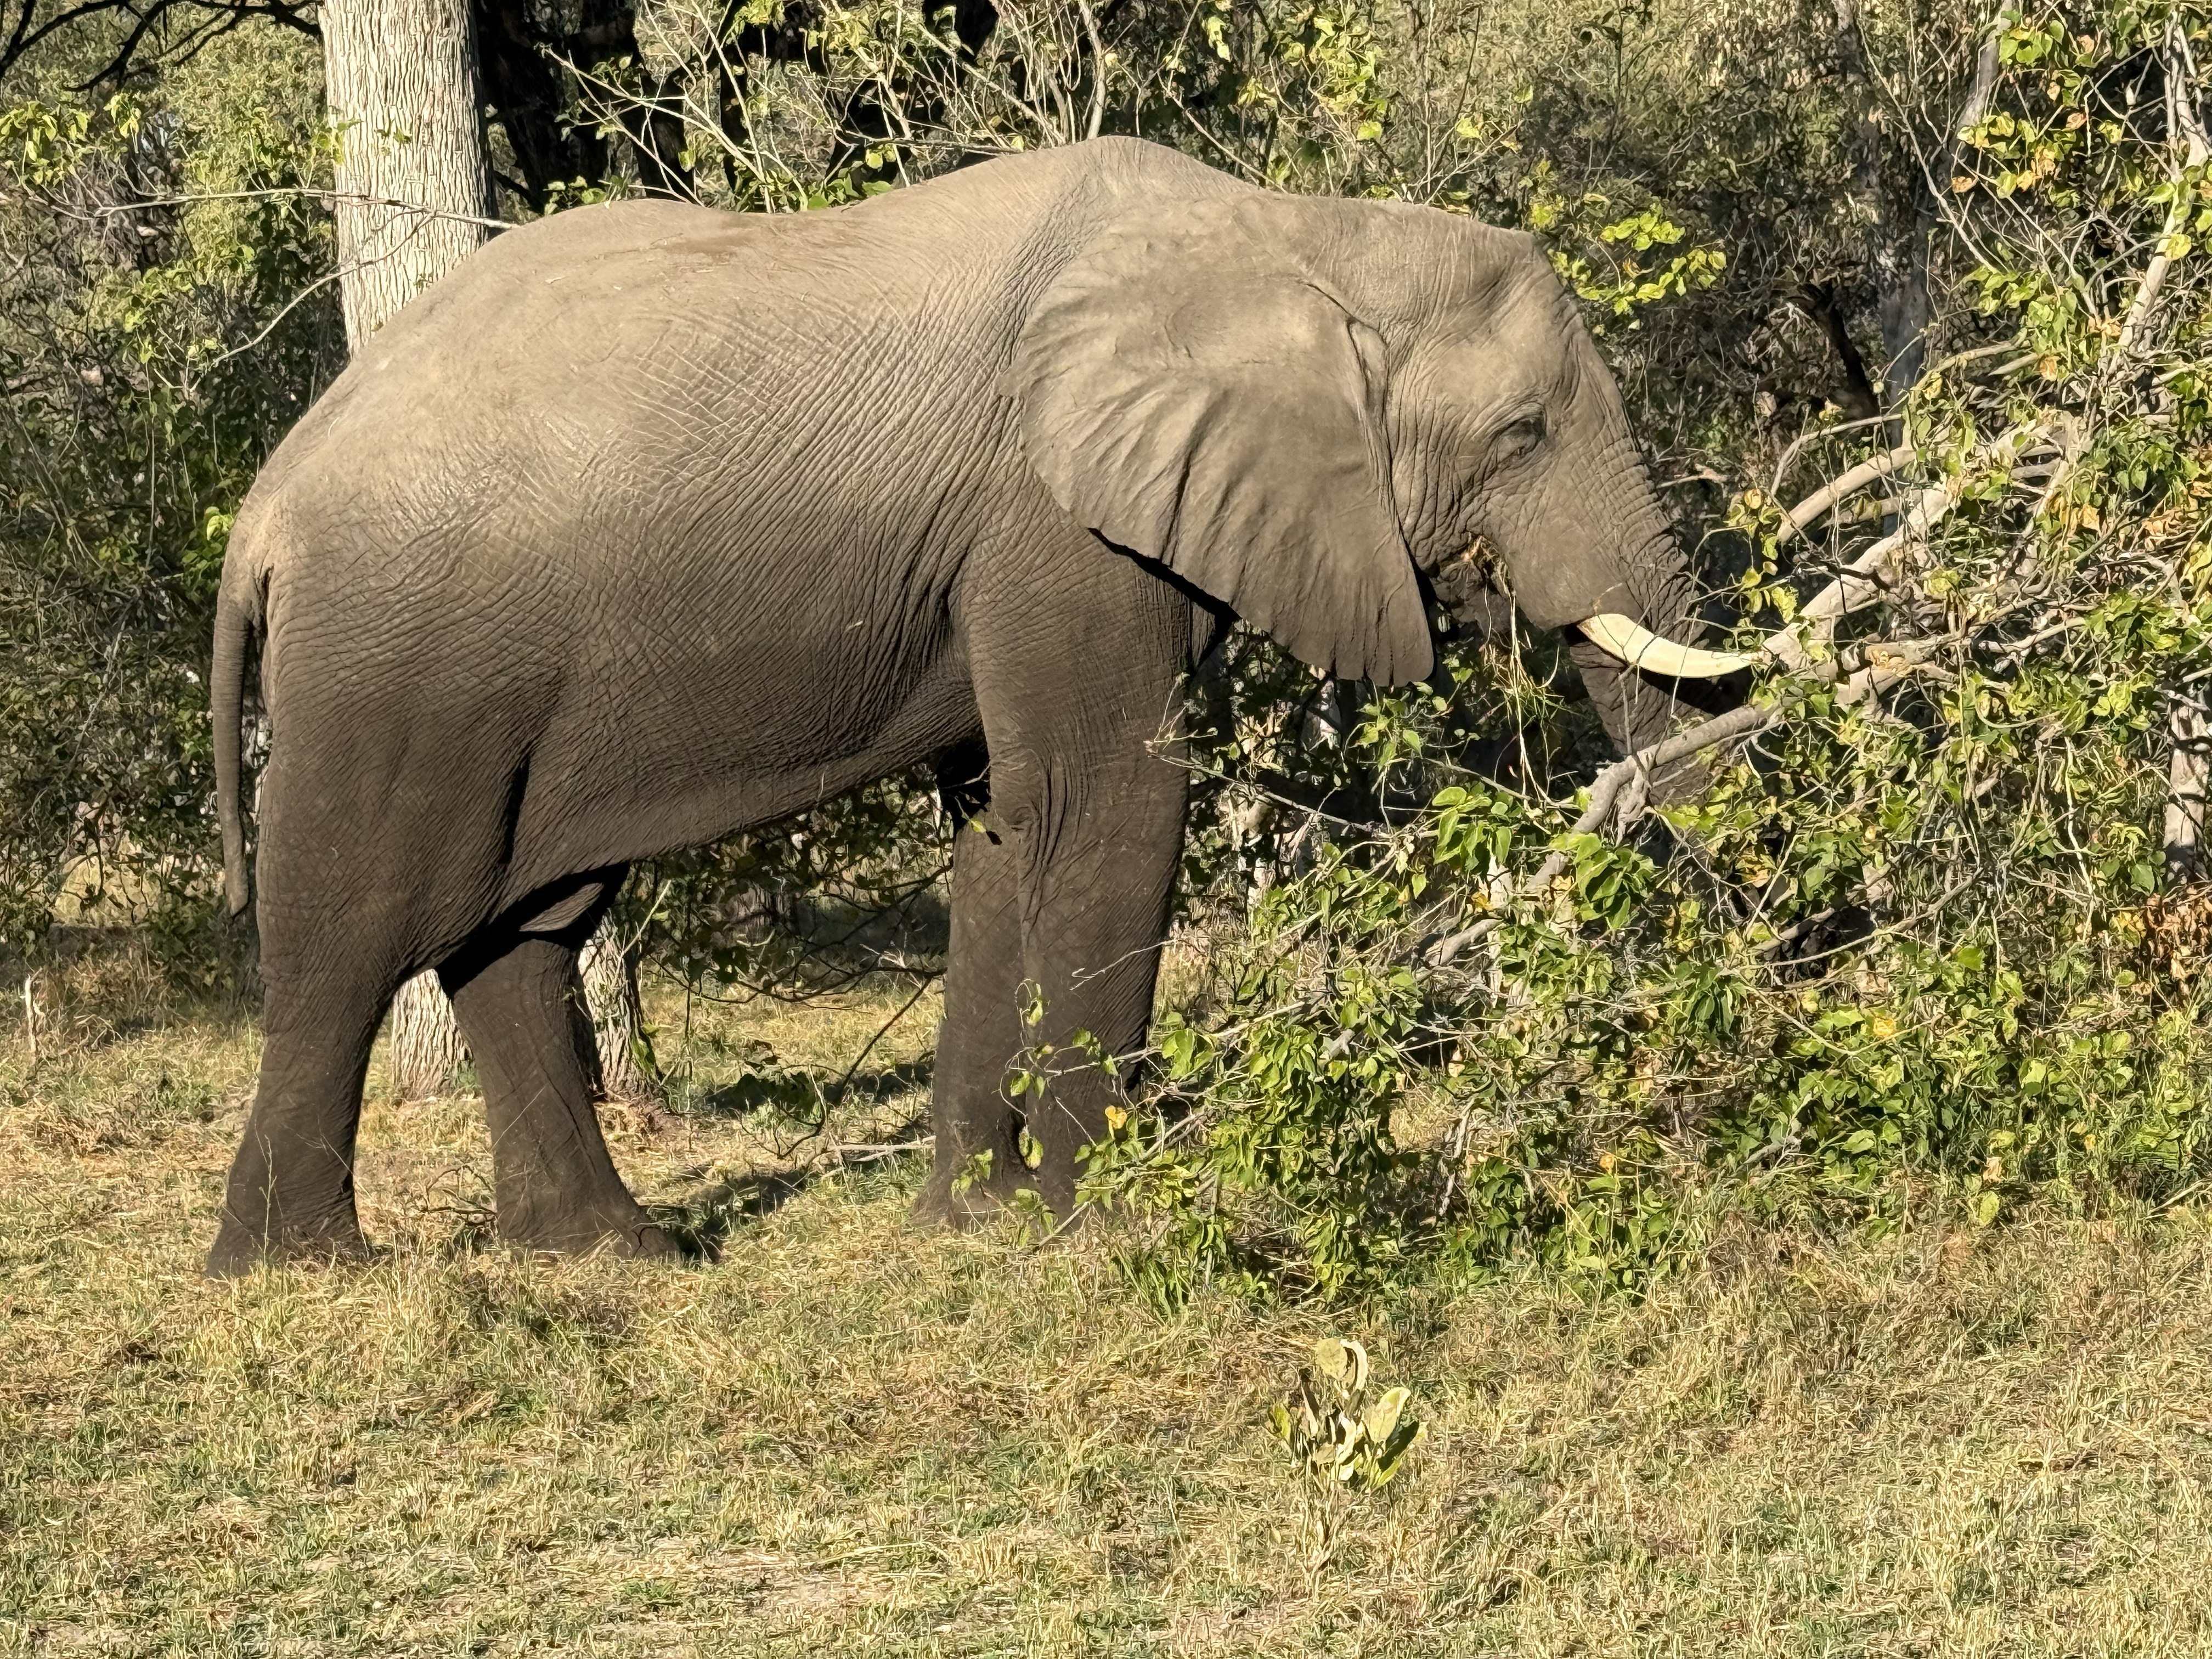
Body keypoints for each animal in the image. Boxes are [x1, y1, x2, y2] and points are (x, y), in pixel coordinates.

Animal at [203, 136, 1739, 1275]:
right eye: (1524, 435)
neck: (1294, 233)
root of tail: (264, 508)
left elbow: (1007, 829)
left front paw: (976, 1227)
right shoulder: (1052, 521)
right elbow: (1109, 803)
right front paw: (1100, 1231)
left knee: (517, 931)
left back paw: (614, 1256)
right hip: (397, 666)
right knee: (356, 929)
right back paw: (300, 1269)